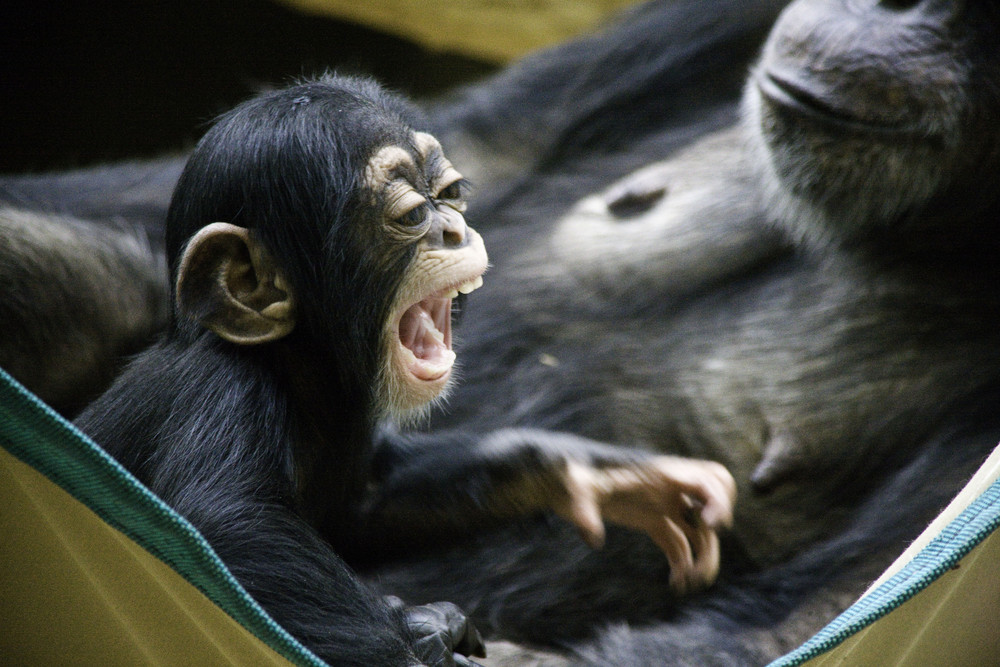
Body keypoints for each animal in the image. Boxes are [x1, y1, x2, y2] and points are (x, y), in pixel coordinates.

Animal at [72, 75, 736, 664]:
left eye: (451, 190)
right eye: (414, 213)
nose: (454, 227)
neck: (298, 369)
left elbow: (367, 502)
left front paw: (599, 474)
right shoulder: (222, 391)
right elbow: (232, 525)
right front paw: (416, 641)